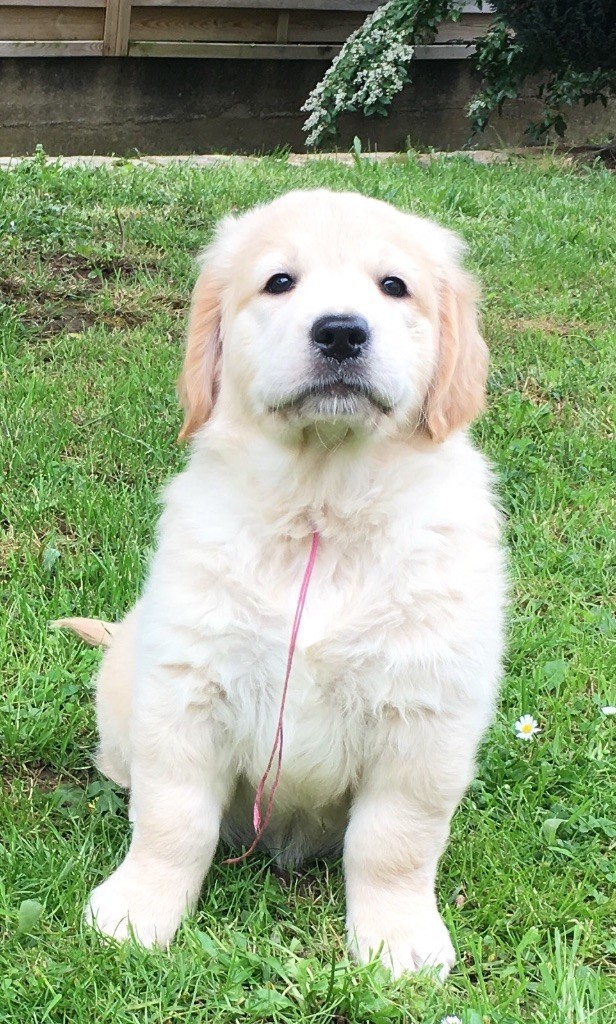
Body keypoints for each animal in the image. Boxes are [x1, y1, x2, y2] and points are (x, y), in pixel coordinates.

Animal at [57, 189, 506, 978]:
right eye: (280, 283)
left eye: (394, 286)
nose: (341, 332)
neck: (321, 509)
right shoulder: (186, 691)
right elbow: (172, 820)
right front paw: (139, 910)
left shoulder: (426, 714)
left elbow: (395, 842)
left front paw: (398, 939)